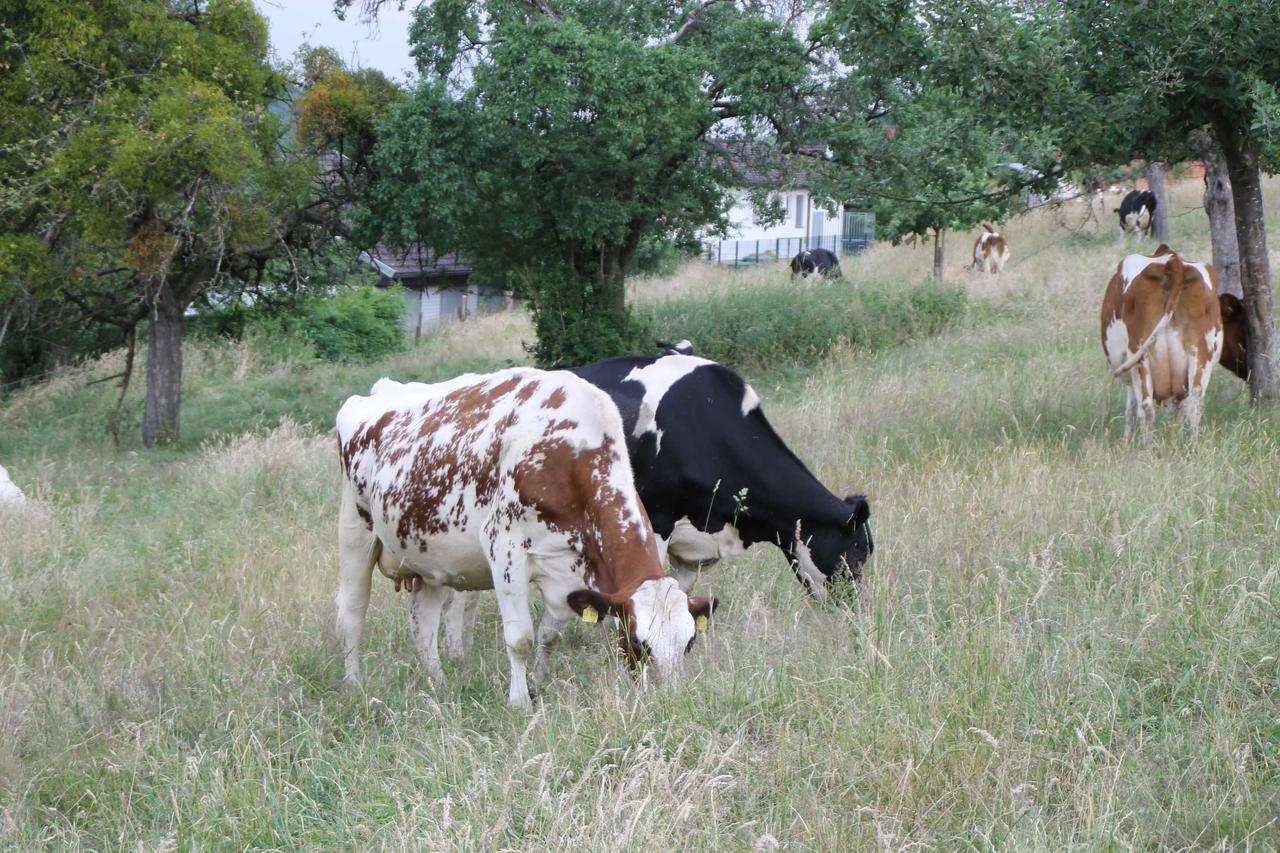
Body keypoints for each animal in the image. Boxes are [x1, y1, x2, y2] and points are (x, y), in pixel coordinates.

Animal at [340, 366, 716, 701]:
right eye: (640, 642)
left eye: (689, 642)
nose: (669, 698)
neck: (568, 451)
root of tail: (380, 390)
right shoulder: (504, 548)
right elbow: (520, 638)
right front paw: (519, 701)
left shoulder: (569, 571)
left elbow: (549, 635)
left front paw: (539, 679)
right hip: (355, 530)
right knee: (352, 611)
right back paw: (353, 685)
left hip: (429, 556)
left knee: (425, 620)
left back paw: (439, 685)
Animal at [1095, 240, 1223, 435]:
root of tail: (1173, 261)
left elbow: (1130, 409)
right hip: (1201, 352)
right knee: (1194, 404)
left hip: (1140, 354)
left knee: (1146, 407)